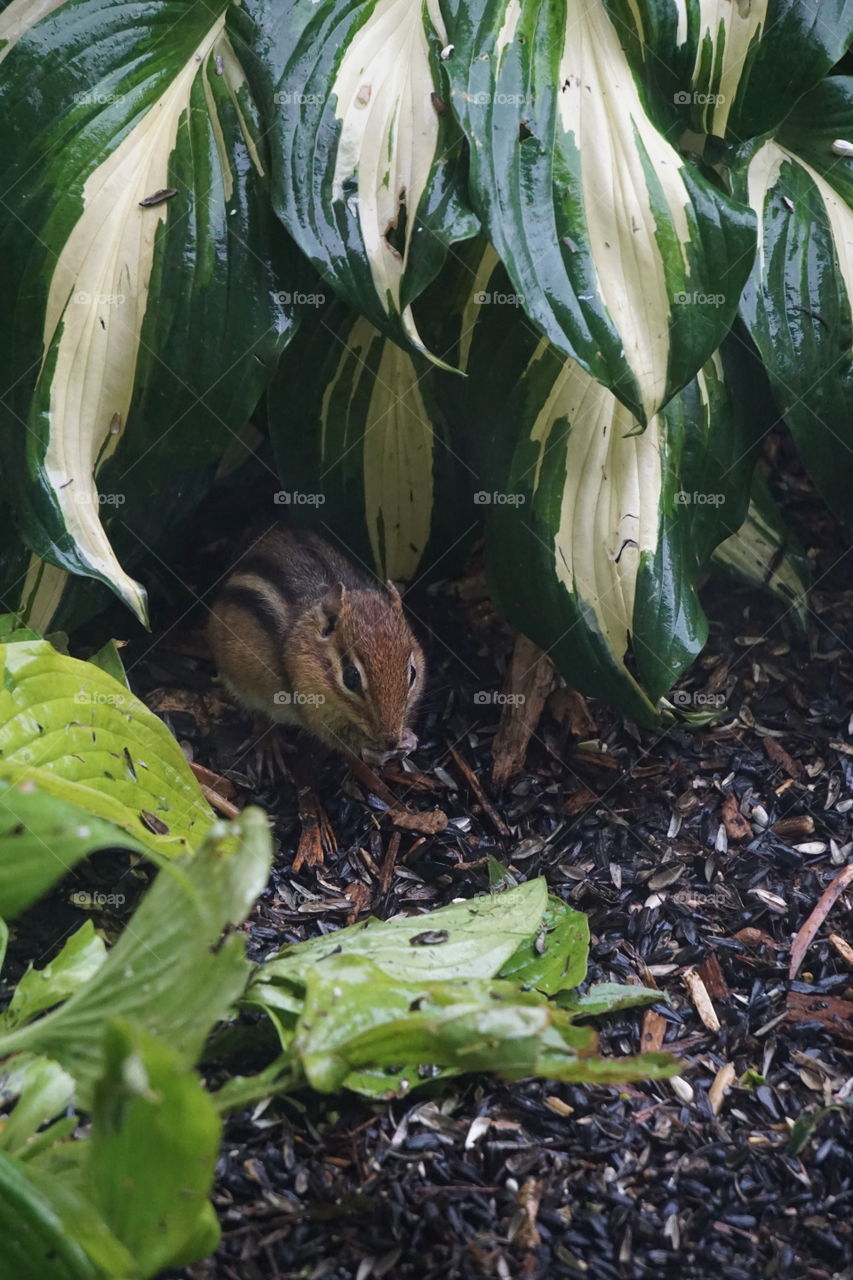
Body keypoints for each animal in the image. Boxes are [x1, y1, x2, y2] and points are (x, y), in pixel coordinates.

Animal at [208, 526, 425, 766]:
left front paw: (409, 738)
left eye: (413, 674)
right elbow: (330, 734)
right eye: (351, 677)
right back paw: (267, 743)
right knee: (258, 712)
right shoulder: (310, 700)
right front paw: (369, 749)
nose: (391, 741)